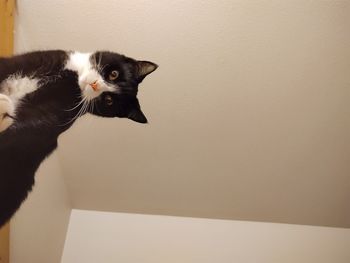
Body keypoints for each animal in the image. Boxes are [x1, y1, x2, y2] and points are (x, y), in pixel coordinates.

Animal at [0, 50, 157, 228]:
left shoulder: (53, 113)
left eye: (108, 100)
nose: (95, 85)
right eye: (114, 74)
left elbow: (33, 124)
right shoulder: (36, 61)